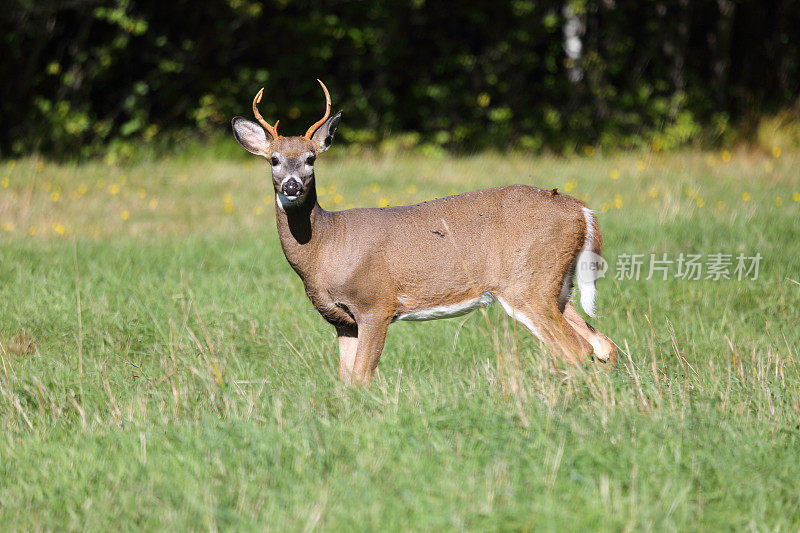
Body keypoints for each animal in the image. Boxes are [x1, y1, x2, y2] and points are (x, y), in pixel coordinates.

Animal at [231, 80, 620, 382]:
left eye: (311, 159)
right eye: (274, 160)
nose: (292, 186)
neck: (326, 244)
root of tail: (581, 210)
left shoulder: (376, 304)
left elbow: (361, 377)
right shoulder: (343, 321)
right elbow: (344, 380)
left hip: (527, 284)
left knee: (576, 349)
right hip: (558, 288)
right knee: (603, 345)